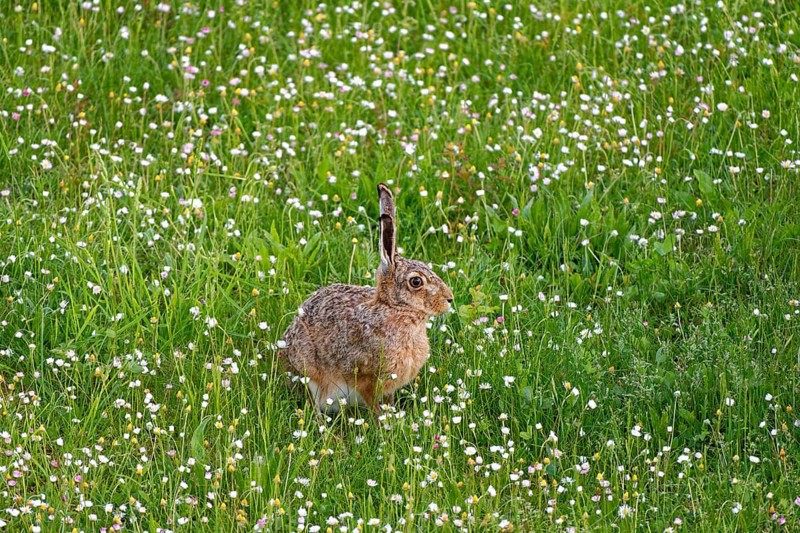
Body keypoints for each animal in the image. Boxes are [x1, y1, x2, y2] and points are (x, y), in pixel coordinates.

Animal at [279, 183, 454, 414]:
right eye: (416, 281)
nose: (450, 299)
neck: (393, 309)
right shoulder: (366, 377)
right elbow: (372, 402)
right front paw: (383, 420)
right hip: (312, 374)